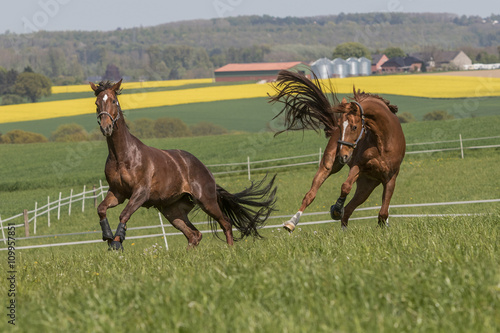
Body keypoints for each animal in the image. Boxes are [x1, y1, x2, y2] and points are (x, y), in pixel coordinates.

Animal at [90, 80, 278, 249]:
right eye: (97, 103)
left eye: (114, 101)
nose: (106, 127)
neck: (122, 156)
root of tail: (205, 169)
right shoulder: (118, 193)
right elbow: (101, 209)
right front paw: (108, 236)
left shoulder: (140, 193)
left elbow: (123, 215)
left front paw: (116, 242)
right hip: (172, 210)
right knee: (194, 235)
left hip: (206, 201)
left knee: (225, 223)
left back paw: (230, 250)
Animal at [270, 70, 406, 231]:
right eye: (341, 126)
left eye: (354, 127)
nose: (343, 156)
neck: (383, 141)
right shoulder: (358, 166)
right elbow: (345, 187)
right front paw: (336, 208)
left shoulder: (390, 178)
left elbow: (383, 212)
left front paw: (383, 227)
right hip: (330, 166)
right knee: (311, 195)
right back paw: (291, 222)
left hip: (367, 185)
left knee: (350, 209)